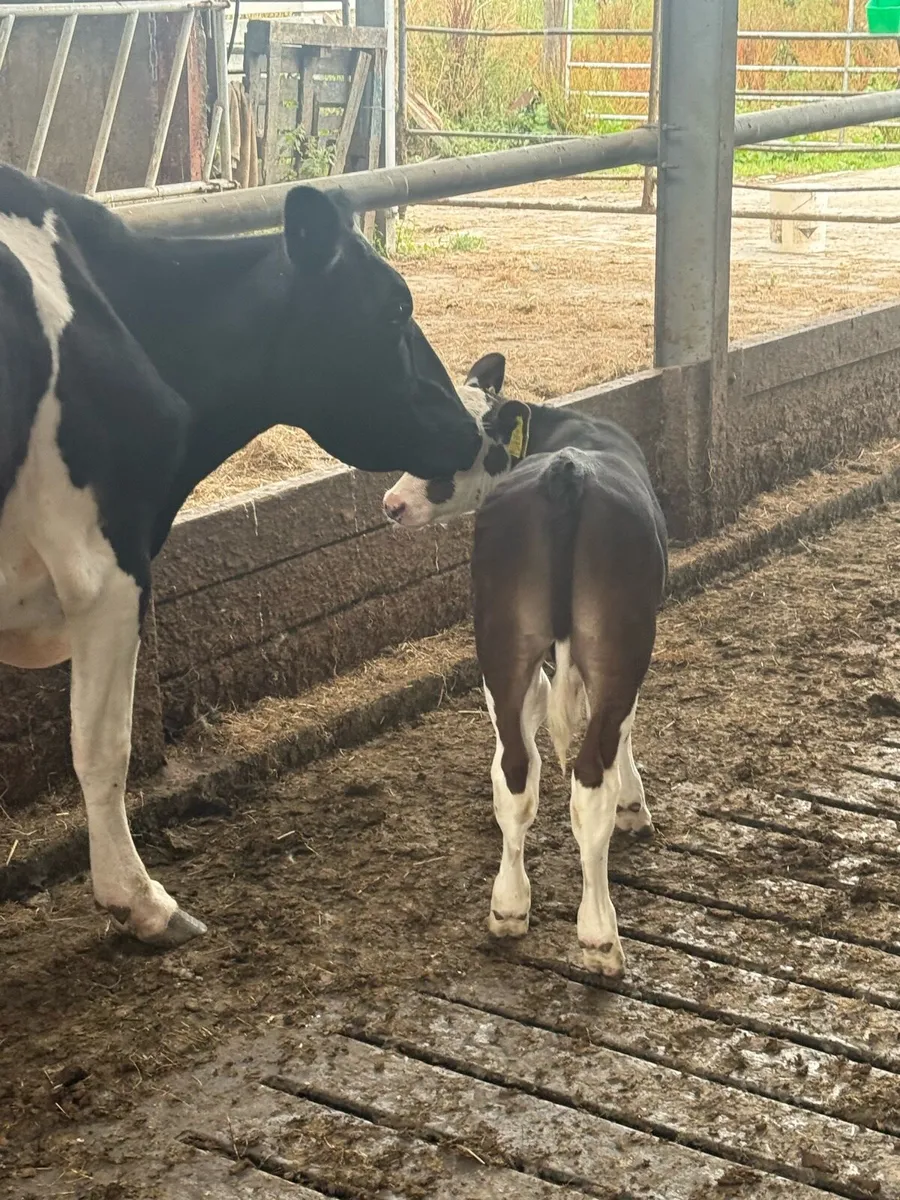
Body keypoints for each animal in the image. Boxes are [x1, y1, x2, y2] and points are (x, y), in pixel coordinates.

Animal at [383, 353, 668, 978]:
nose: (392, 505)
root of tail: (566, 470)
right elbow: (626, 730)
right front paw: (635, 804)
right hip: (622, 641)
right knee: (589, 780)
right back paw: (599, 936)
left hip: (500, 642)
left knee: (515, 770)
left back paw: (509, 907)